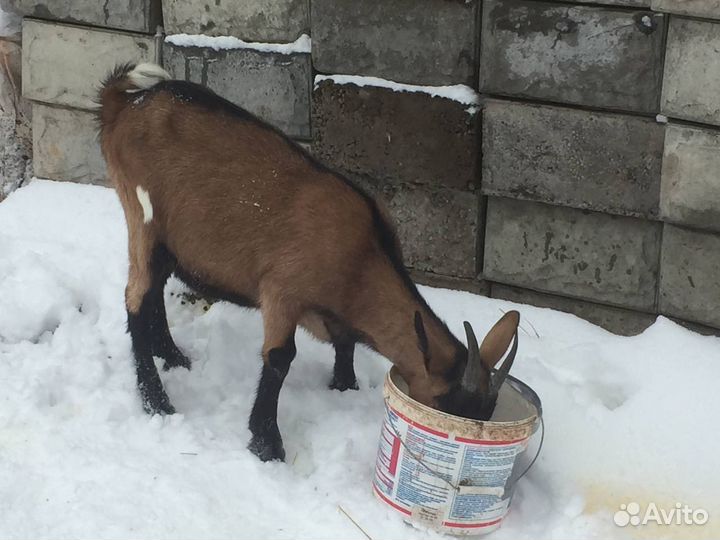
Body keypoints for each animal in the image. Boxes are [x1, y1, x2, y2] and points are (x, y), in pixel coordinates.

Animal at [98, 63, 520, 462]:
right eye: (446, 404)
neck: (362, 253)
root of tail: (122, 103)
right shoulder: (282, 290)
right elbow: (280, 358)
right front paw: (267, 444)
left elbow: (344, 342)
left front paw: (344, 387)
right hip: (143, 216)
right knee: (136, 298)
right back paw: (157, 401)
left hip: (170, 240)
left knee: (153, 288)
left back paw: (171, 355)